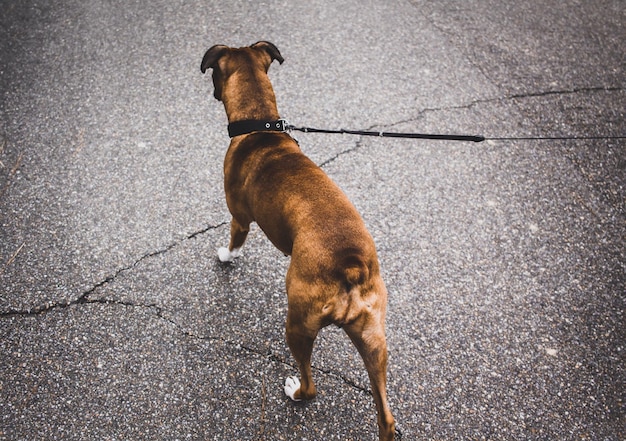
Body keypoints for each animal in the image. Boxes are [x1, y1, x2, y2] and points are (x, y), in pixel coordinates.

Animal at [201, 42, 394, 440]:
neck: (261, 127)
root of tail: (351, 267)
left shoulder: (240, 217)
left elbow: (234, 242)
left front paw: (225, 256)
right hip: (373, 341)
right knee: (386, 416)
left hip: (298, 326)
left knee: (311, 383)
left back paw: (296, 391)